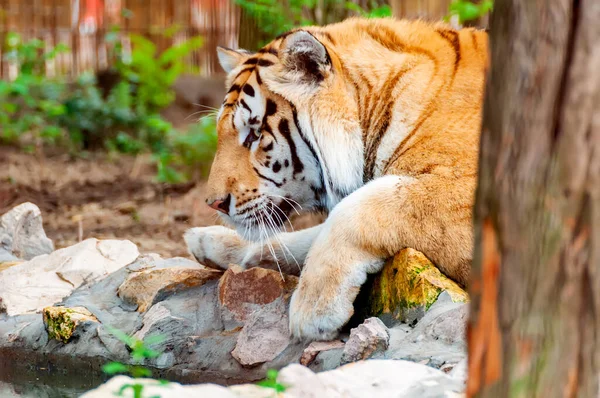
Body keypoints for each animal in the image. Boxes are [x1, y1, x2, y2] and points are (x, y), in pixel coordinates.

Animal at [184, 17, 488, 338]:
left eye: (254, 135)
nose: (214, 203)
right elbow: (310, 234)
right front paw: (211, 240)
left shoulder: (462, 190)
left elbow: (356, 208)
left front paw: (312, 309)